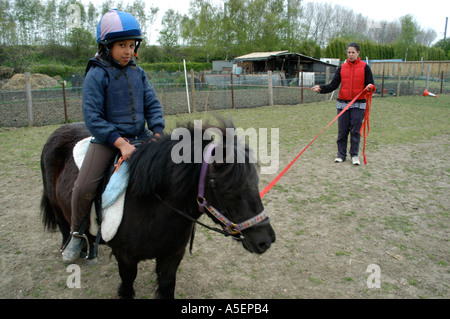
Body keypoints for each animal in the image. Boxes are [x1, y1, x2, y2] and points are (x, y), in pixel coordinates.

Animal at [40, 120, 276, 300]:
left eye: (255, 182)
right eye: (229, 189)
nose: (266, 240)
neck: (152, 205)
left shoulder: (172, 256)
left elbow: (166, 287)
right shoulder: (125, 259)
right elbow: (127, 289)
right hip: (58, 206)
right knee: (65, 226)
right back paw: (73, 247)